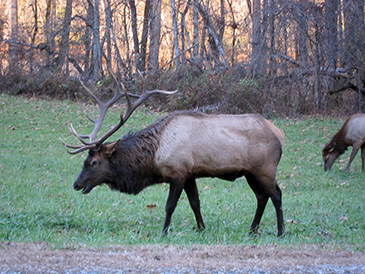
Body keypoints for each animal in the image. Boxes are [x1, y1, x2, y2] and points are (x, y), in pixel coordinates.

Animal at [60, 74, 284, 237]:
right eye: (85, 161)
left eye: (94, 162)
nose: (76, 184)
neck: (154, 155)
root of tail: (279, 134)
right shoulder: (190, 175)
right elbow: (195, 203)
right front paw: (201, 228)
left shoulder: (177, 173)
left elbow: (170, 206)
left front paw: (164, 232)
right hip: (250, 172)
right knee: (261, 196)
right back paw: (252, 229)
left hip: (265, 169)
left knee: (276, 195)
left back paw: (280, 232)